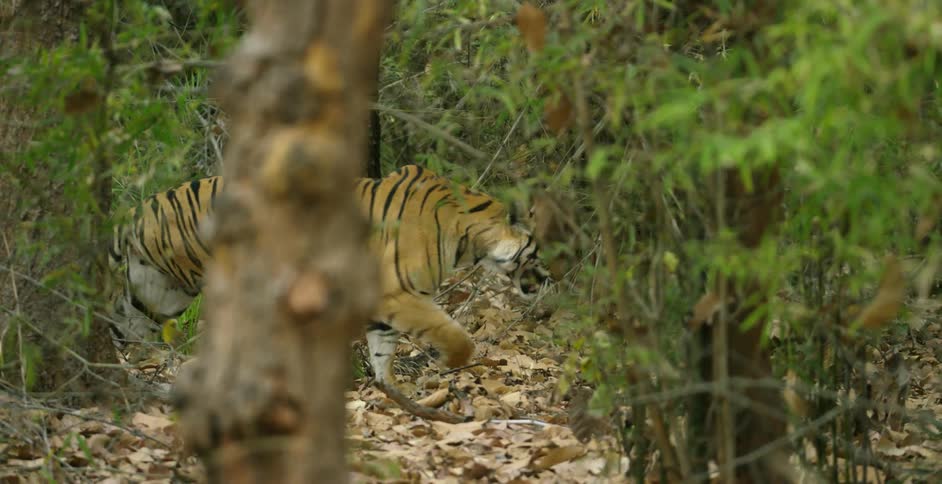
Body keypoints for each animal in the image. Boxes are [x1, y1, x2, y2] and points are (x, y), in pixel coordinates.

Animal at [107, 165, 550, 384]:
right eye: (540, 252)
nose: (551, 281)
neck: (469, 235)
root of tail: (133, 212)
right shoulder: (396, 292)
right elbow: (454, 335)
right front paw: (448, 363)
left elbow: (383, 352)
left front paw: (390, 392)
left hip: (156, 295)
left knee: (123, 325)